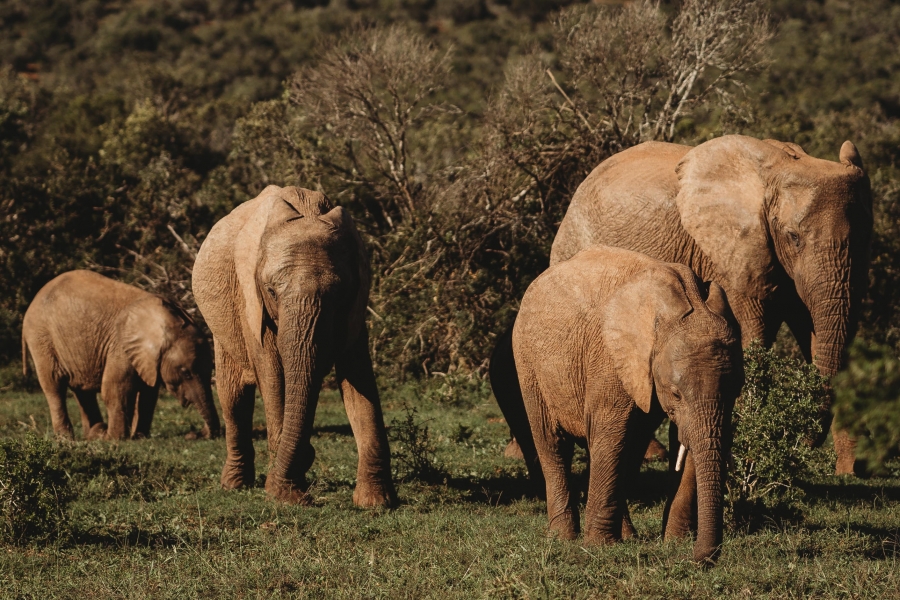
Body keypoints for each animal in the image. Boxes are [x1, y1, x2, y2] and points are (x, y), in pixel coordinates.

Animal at [21, 272, 221, 440]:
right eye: (186, 373)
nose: (193, 434)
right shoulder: (120, 346)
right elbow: (115, 389)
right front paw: (114, 440)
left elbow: (148, 395)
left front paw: (139, 437)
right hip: (41, 338)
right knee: (54, 385)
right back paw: (69, 438)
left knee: (81, 389)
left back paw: (95, 433)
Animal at [192, 185, 396, 504]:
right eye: (272, 291)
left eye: (340, 293)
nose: (308, 453)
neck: (308, 207)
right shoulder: (250, 299)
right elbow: (272, 372)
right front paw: (286, 494)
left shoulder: (355, 306)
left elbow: (359, 376)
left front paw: (376, 502)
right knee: (232, 395)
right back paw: (234, 485)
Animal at [492, 244, 744, 564]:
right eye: (675, 394)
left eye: (736, 390)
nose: (700, 560)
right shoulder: (610, 358)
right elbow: (611, 433)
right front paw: (599, 547)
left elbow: (682, 443)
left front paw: (674, 541)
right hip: (527, 361)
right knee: (553, 442)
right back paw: (563, 537)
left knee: (627, 450)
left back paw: (627, 536)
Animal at [548, 135, 872, 474]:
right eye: (793, 237)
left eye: (867, 236)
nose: (802, 441)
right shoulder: (727, 254)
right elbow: (751, 336)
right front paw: (747, 457)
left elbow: (818, 334)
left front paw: (853, 470)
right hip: (573, 245)